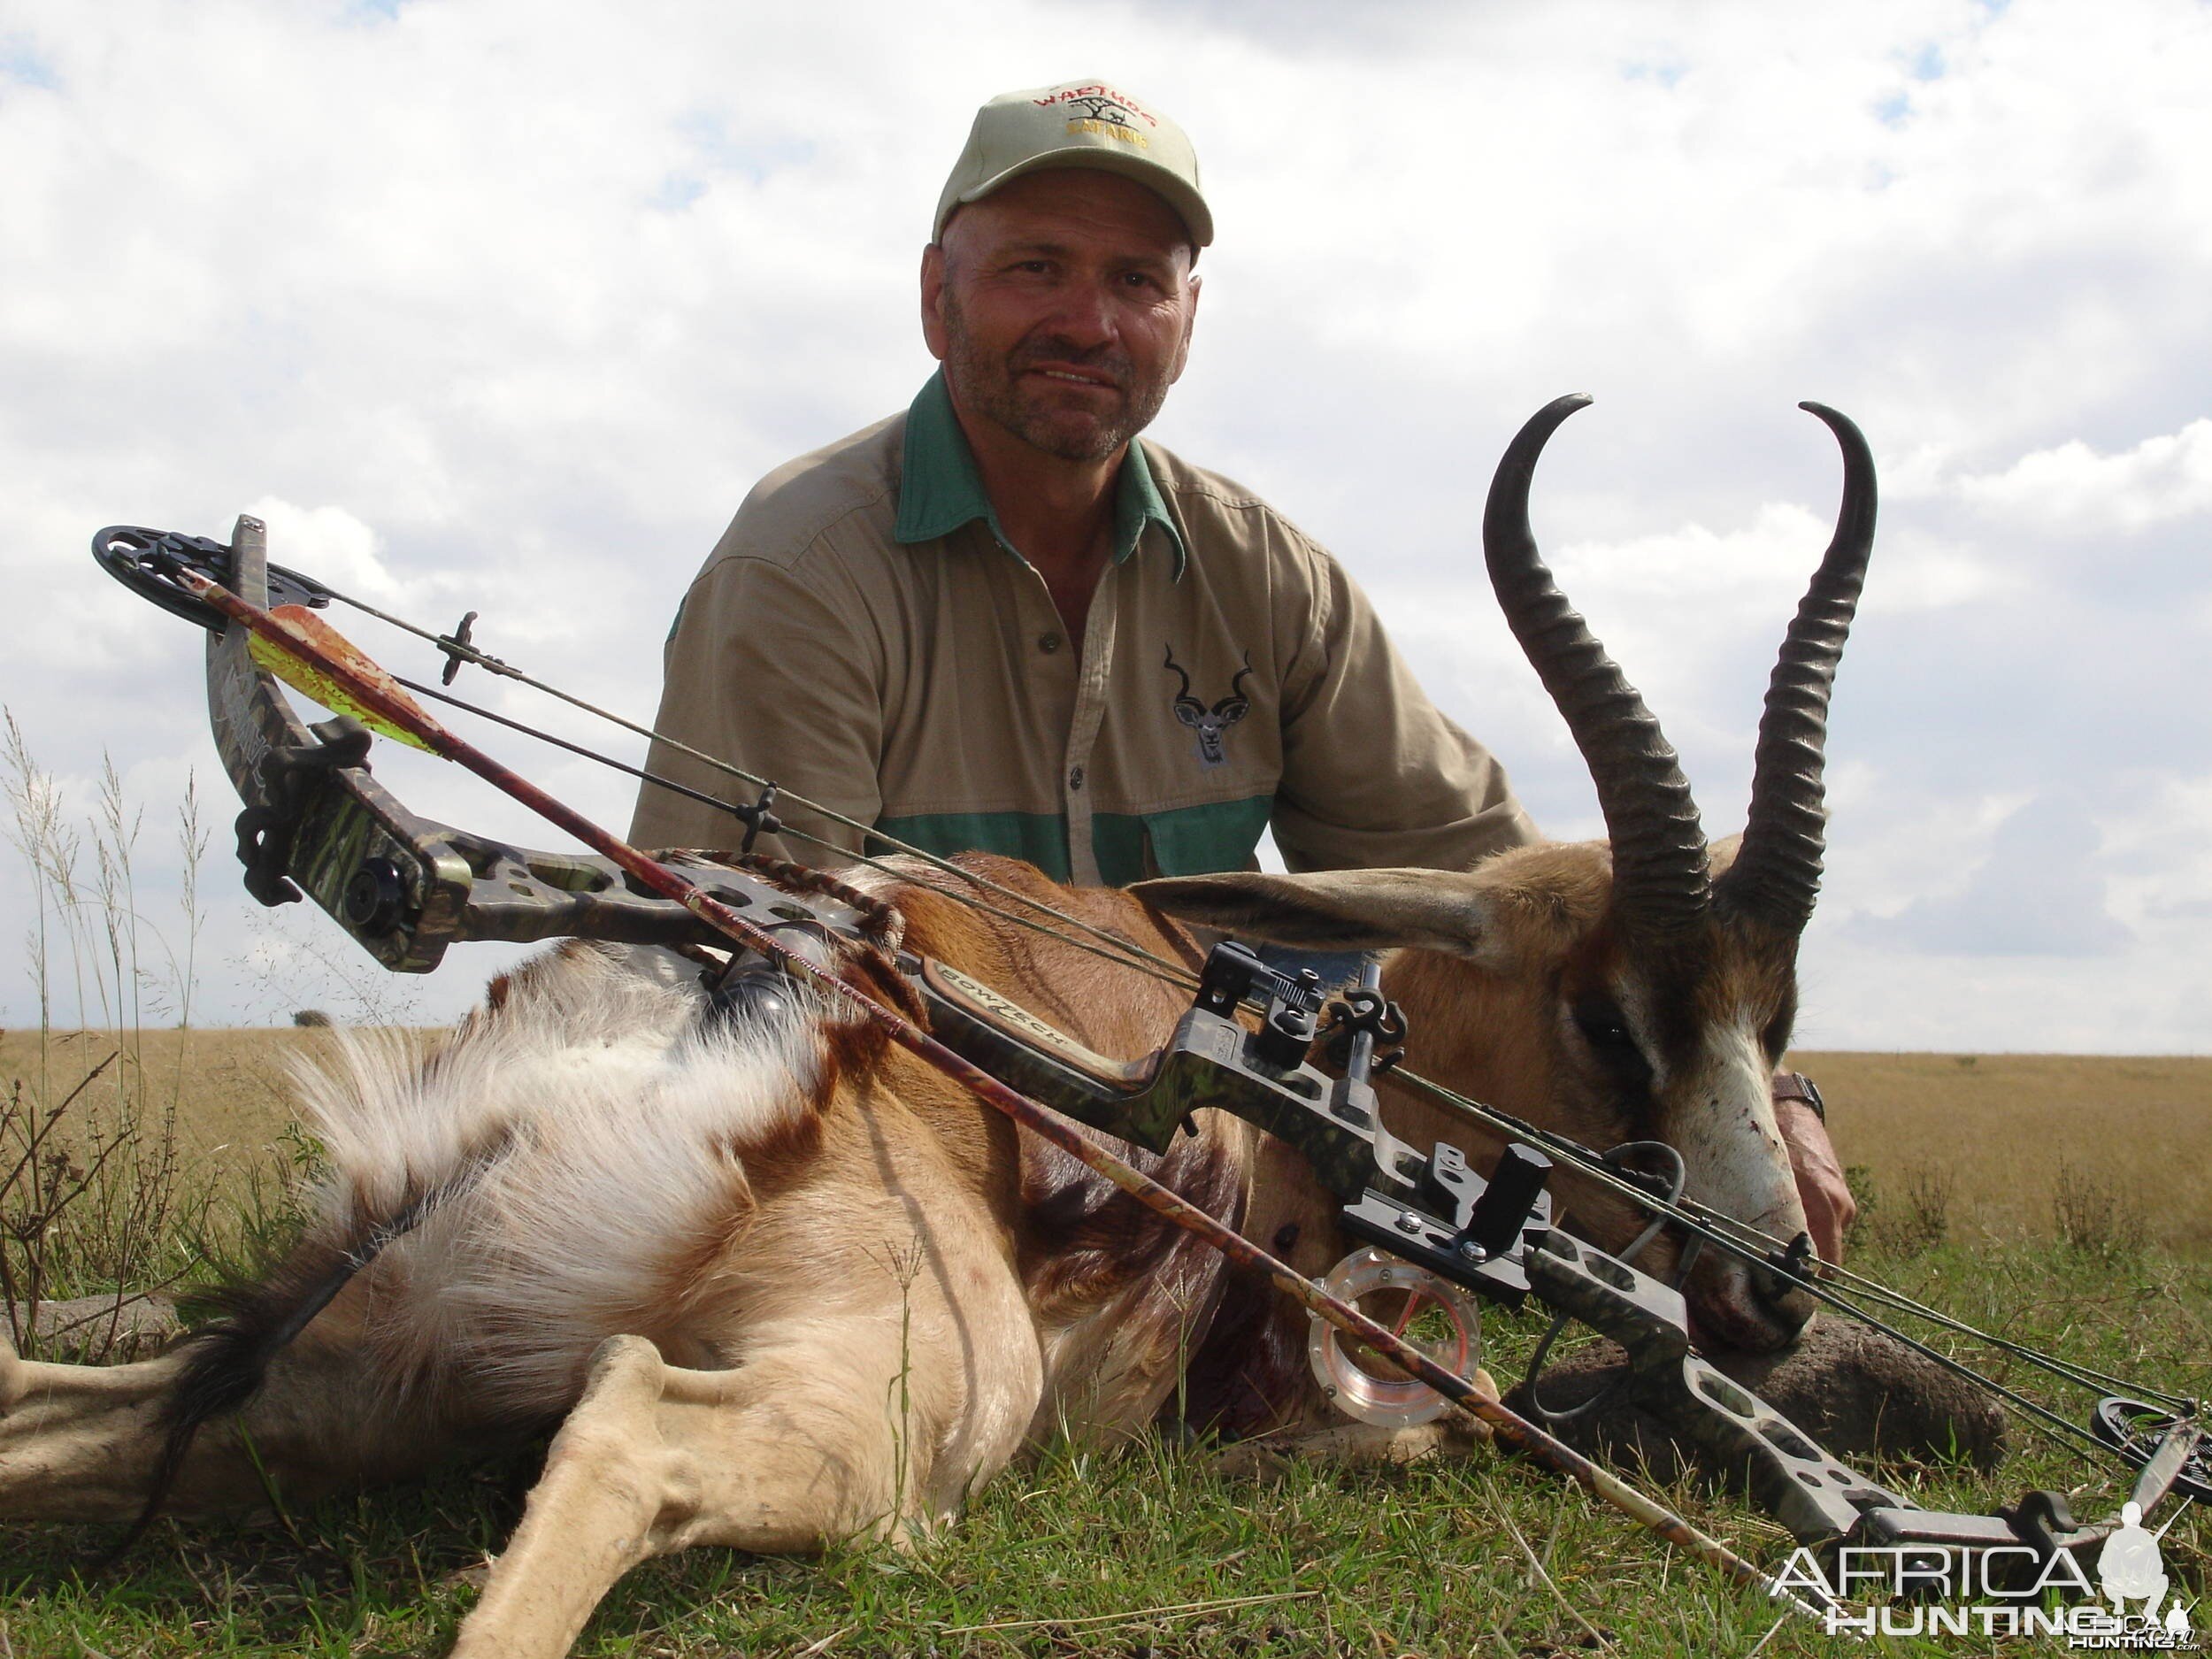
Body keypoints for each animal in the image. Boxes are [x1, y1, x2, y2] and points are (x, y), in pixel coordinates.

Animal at [0, 396, 1867, 1655]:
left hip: (331, 1374)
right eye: (1611, 1020)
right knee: (632, 1435)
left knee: (63, 1405)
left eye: (1776, 1017)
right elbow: (1457, 1431)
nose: (1774, 1283)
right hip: (874, 1413)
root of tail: (707, 994)